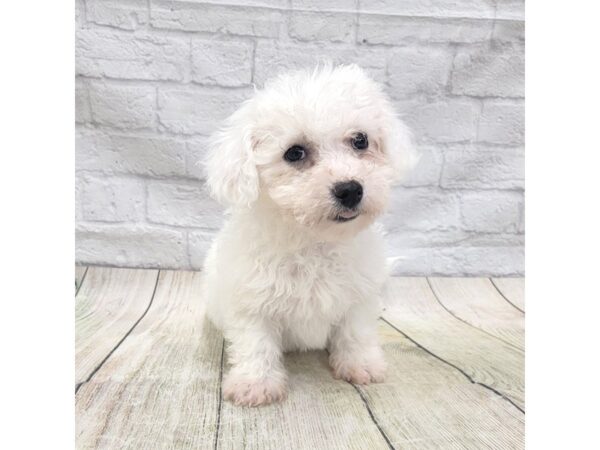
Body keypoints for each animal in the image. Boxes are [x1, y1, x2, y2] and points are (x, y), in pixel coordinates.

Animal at [204, 64, 414, 408]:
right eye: (294, 153)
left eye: (360, 140)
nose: (350, 189)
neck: (314, 241)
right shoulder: (250, 299)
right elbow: (256, 343)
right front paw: (255, 383)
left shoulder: (360, 294)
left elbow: (355, 331)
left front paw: (360, 365)